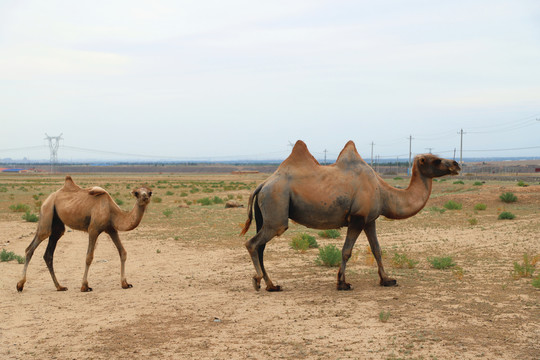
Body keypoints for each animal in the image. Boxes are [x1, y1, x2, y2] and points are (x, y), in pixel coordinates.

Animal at [16, 176, 152, 292]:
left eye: (150, 192)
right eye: (137, 193)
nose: (144, 197)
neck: (112, 211)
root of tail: (48, 198)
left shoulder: (111, 229)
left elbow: (123, 252)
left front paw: (125, 283)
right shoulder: (93, 229)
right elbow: (89, 257)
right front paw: (85, 286)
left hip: (57, 225)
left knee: (48, 253)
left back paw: (60, 287)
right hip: (47, 212)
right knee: (32, 246)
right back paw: (20, 285)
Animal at [240, 139, 460, 292]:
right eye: (436, 160)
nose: (456, 164)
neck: (383, 191)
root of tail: (262, 184)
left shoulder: (370, 220)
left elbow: (377, 249)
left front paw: (387, 280)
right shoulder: (357, 218)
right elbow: (347, 251)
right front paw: (342, 283)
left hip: (267, 214)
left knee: (260, 247)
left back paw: (271, 285)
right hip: (276, 208)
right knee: (253, 243)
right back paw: (258, 281)